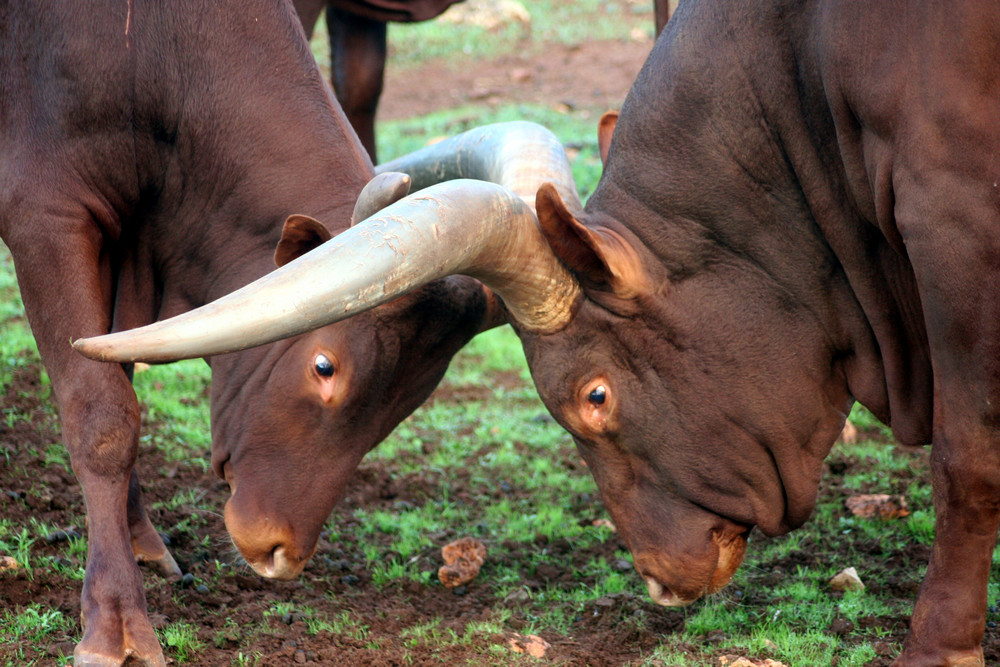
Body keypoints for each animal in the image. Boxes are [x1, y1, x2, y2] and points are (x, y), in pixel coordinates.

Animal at [0, 2, 584, 664]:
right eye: (323, 366)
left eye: (408, 404)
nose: (279, 552)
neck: (156, 49)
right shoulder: (47, 216)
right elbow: (103, 418)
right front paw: (115, 621)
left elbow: (118, 367)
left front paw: (138, 535)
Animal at [84, 1, 1000, 664]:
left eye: (595, 394)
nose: (659, 580)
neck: (805, 64)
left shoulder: (953, 220)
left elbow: (968, 462)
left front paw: (937, 645)